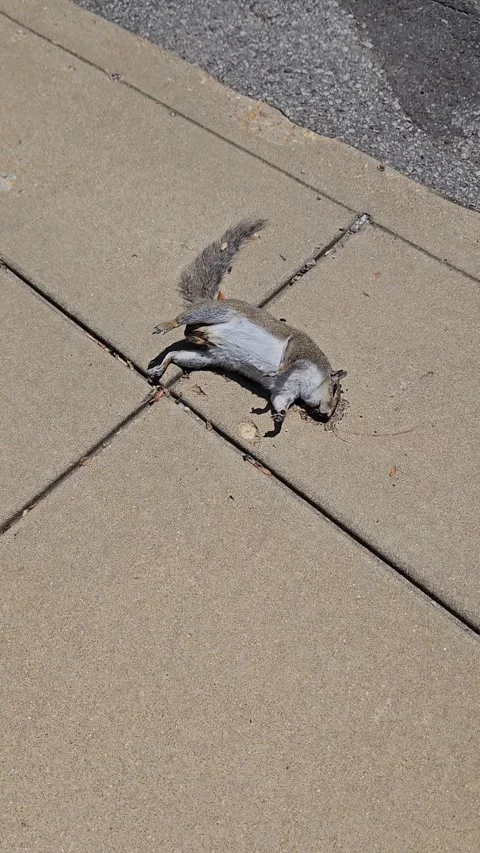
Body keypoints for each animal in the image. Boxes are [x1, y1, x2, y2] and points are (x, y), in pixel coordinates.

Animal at [148, 219, 346, 427]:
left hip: (207, 357)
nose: (326, 415)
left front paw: (280, 417)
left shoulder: (285, 391)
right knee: (184, 320)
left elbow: (278, 401)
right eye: (334, 389)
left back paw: (160, 367)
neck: (304, 382)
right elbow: (289, 357)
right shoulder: (304, 348)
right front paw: (276, 371)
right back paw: (167, 325)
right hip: (217, 312)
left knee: (176, 353)